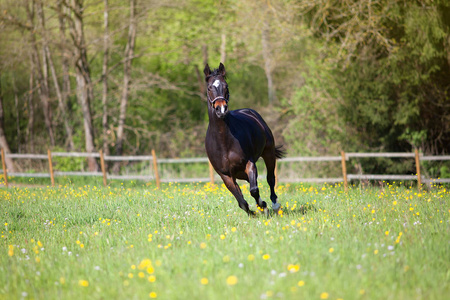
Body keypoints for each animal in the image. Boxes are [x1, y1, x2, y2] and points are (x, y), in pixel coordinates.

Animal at [204, 62, 284, 216]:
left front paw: (263, 206)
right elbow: (241, 200)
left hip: (268, 153)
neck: (224, 142)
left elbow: (254, 190)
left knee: (270, 179)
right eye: (209, 87)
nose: (221, 109)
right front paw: (254, 212)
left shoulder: (249, 163)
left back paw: (275, 205)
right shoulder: (225, 175)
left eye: (226, 85)